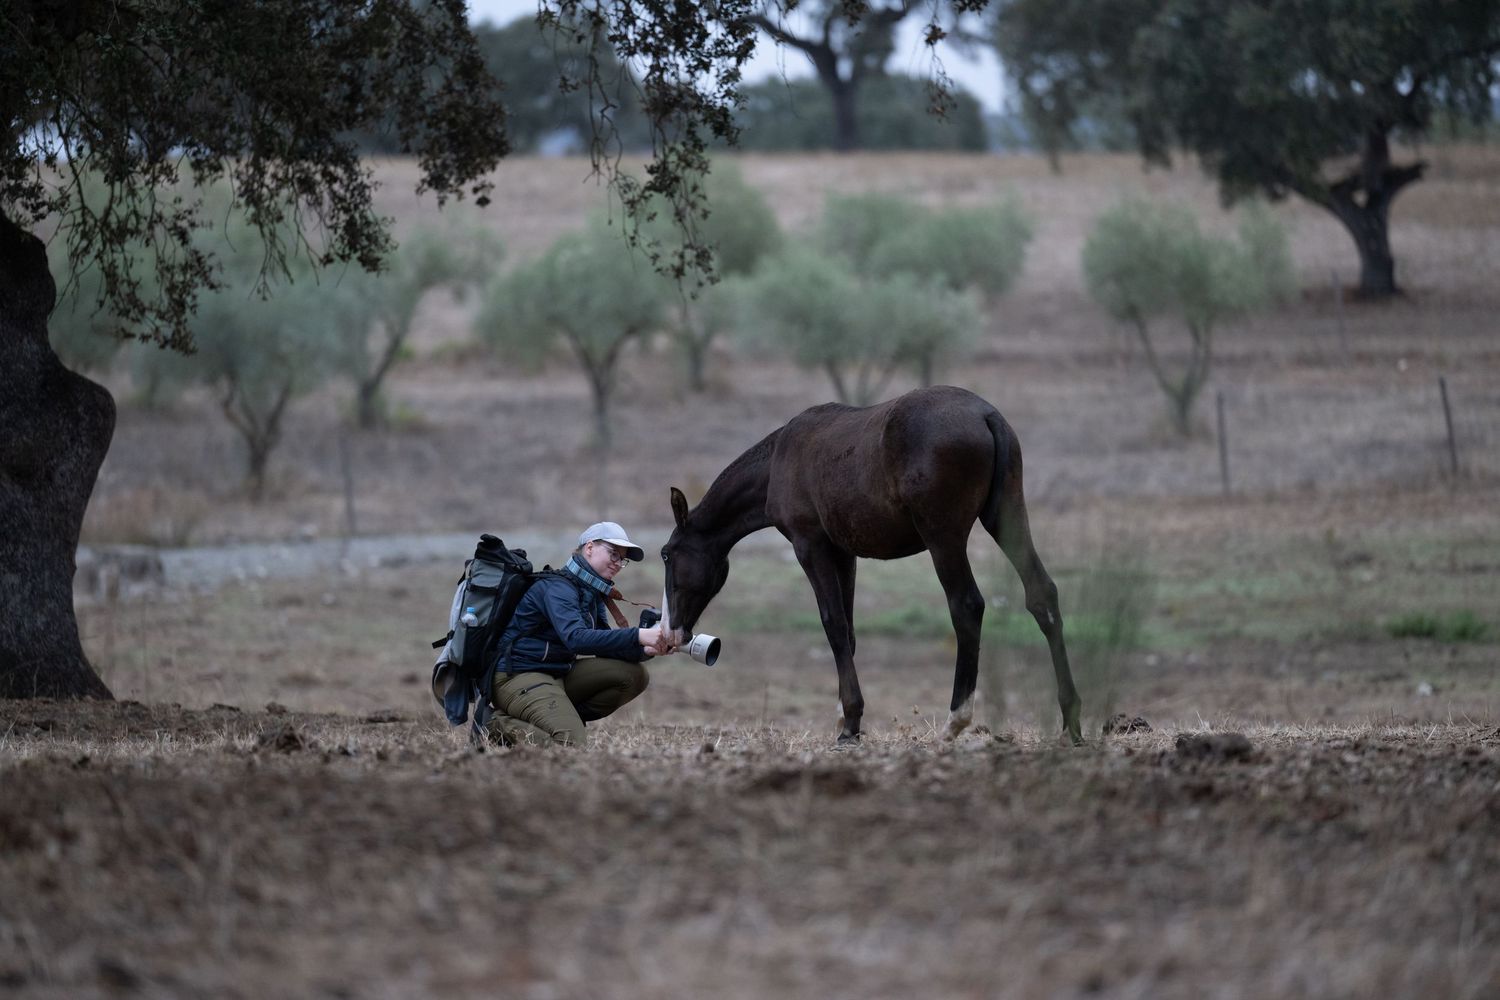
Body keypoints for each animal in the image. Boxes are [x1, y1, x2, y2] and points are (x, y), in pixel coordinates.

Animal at [660, 385, 1083, 746]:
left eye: (666, 554)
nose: (672, 631)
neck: (781, 456)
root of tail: (985, 414)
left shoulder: (810, 546)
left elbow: (832, 625)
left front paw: (850, 723)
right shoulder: (843, 553)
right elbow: (848, 632)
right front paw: (846, 718)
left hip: (944, 539)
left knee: (967, 606)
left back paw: (955, 721)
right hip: (1006, 519)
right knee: (1042, 595)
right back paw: (1072, 722)